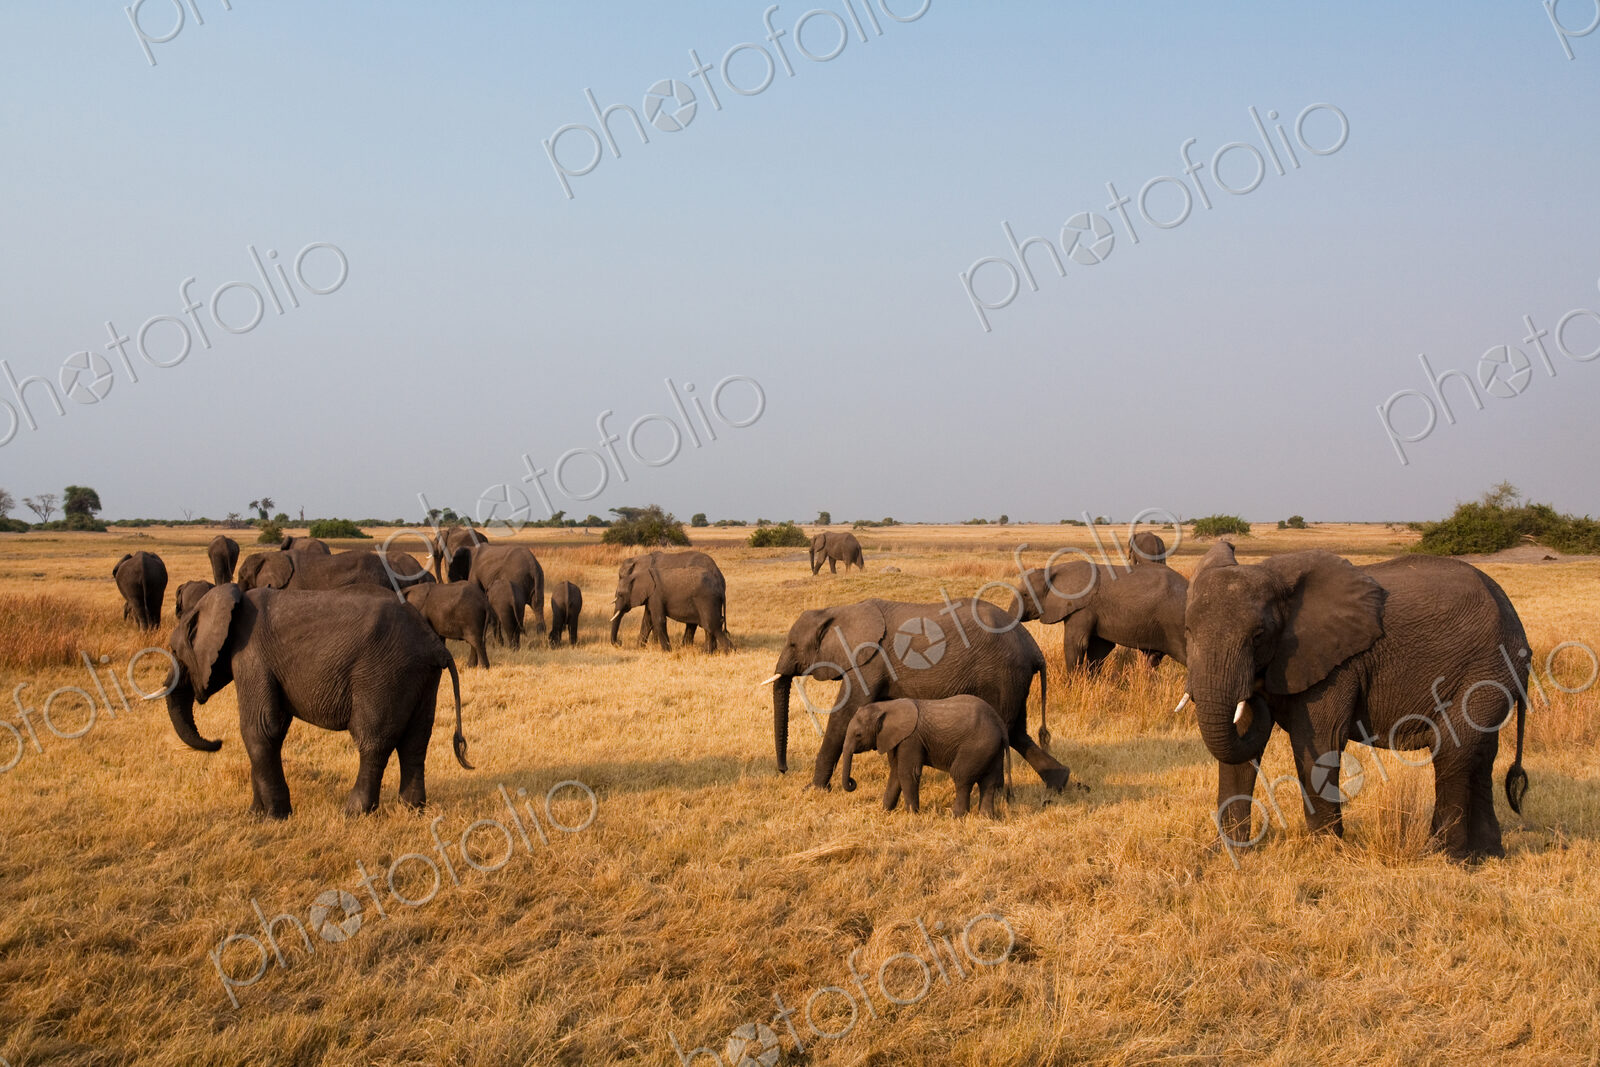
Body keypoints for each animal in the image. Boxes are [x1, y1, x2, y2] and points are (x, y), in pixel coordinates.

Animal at [161, 584, 471, 818]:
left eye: (174, 651)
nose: (217, 742)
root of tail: (435, 645)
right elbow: (275, 729)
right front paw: (254, 815)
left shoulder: (251, 655)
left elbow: (259, 729)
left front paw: (273, 817)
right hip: (421, 677)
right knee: (416, 742)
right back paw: (412, 810)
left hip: (384, 673)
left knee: (373, 741)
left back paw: (353, 813)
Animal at [763, 597, 1070, 793]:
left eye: (793, 644)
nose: (783, 770)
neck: (837, 610)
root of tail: (1035, 650)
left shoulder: (871, 661)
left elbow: (844, 715)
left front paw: (813, 790)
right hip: (1013, 678)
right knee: (1017, 732)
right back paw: (1059, 784)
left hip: (1003, 675)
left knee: (1007, 731)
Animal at [841, 696, 1007, 818]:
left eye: (858, 735)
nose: (852, 782)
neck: (886, 706)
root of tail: (999, 722)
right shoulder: (895, 740)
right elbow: (895, 773)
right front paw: (885, 811)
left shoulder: (910, 739)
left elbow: (907, 773)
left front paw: (911, 815)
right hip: (992, 748)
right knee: (989, 781)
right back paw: (986, 818)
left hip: (977, 745)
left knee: (961, 776)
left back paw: (956, 817)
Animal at [1010, 560, 1188, 672]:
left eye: (1025, 595)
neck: (1053, 570)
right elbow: (1098, 648)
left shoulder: (1083, 609)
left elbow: (1076, 644)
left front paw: (1072, 686)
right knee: (1152, 659)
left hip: (1177, 622)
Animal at [1183, 543, 1531, 861]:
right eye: (1188, 631)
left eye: (1258, 636)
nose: (1256, 692)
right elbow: (1242, 750)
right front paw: (1228, 852)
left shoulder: (1337, 665)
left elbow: (1320, 742)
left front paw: (1326, 852)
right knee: (1481, 755)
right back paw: (1487, 855)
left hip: (1487, 668)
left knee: (1452, 749)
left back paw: (1442, 856)